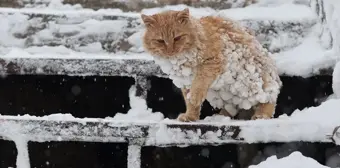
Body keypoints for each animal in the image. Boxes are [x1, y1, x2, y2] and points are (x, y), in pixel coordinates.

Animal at [141, 8, 282, 121]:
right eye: (160, 41)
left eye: (177, 38)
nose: (170, 51)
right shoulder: (186, 81)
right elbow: (190, 103)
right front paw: (191, 117)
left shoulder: (212, 63)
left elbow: (199, 84)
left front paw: (195, 97)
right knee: (233, 108)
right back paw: (220, 116)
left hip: (253, 84)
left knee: (269, 99)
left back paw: (261, 115)